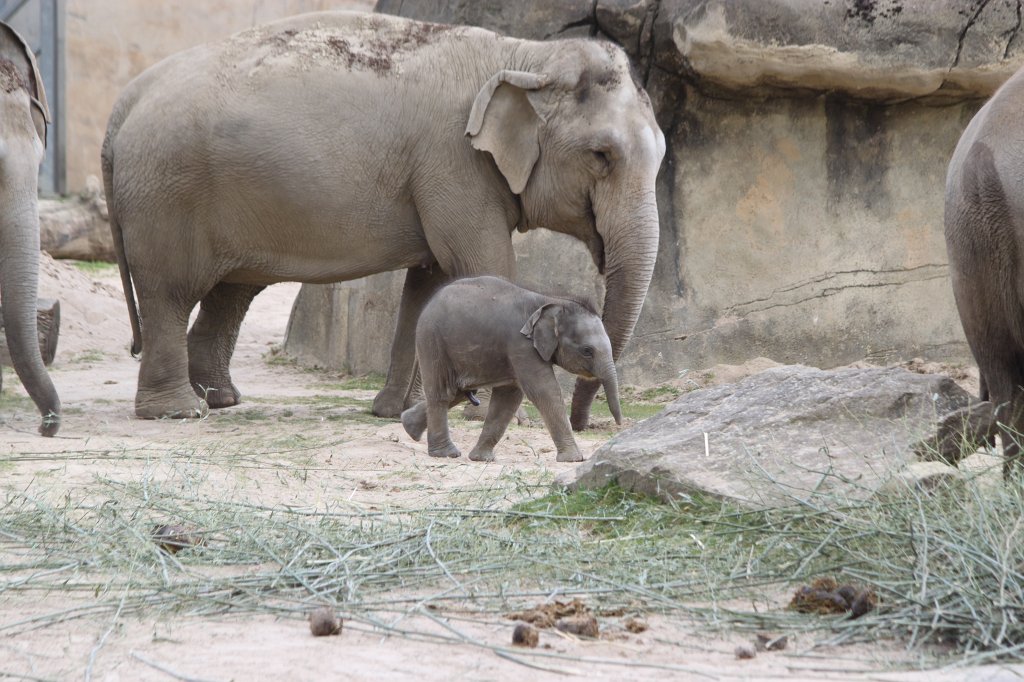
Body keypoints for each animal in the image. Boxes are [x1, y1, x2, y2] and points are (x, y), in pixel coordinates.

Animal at [101, 11, 664, 425]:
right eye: (601, 155)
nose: (586, 423)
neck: (526, 55)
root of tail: (126, 100)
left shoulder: (439, 178)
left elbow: (429, 284)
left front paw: (398, 411)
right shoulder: (454, 164)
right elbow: (482, 267)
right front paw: (506, 412)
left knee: (232, 290)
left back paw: (220, 400)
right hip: (166, 196)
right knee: (171, 292)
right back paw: (178, 412)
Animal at [400, 276, 621, 462]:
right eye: (587, 351)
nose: (619, 426)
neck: (551, 300)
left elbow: (509, 397)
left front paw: (481, 459)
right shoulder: (521, 345)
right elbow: (543, 391)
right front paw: (574, 459)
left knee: (459, 390)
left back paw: (408, 426)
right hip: (432, 340)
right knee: (443, 392)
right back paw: (446, 454)